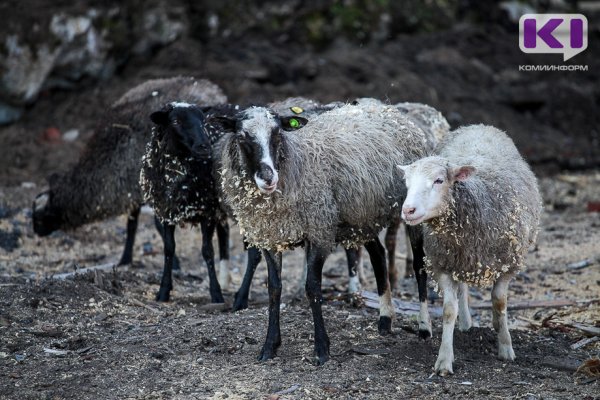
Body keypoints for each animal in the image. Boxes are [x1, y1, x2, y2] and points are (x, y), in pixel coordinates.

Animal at [34, 76, 229, 268]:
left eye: (40, 216)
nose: (36, 232)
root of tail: (211, 87)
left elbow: (156, 226)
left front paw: (174, 264)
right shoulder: (132, 191)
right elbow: (131, 225)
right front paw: (125, 259)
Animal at [219, 101, 432, 364]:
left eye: (277, 133)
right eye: (242, 137)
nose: (268, 178)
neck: (296, 158)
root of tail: (390, 110)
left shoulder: (319, 232)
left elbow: (312, 287)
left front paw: (321, 348)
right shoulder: (270, 237)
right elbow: (274, 289)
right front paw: (270, 346)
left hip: (413, 212)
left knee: (419, 266)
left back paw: (424, 327)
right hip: (361, 217)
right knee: (378, 255)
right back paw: (384, 319)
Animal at [398, 124, 544, 376]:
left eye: (439, 180)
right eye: (407, 182)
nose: (408, 210)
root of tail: (478, 126)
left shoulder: (508, 264)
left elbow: (499, 302)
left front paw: (506, 347)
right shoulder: (443, 264)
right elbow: (449, 310)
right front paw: (444, 360)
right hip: (459, 259)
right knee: (463, 289)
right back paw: (466, 323)